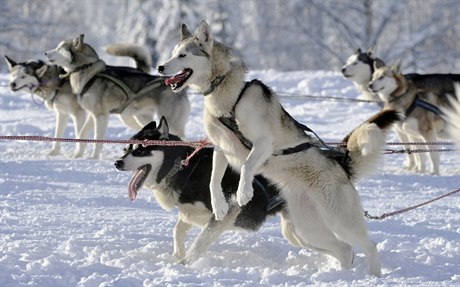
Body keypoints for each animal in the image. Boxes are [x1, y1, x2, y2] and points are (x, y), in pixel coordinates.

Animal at [114, 118, 306, 264]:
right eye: (125, 149)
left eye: (140, 150)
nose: (117, 162)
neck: (185, 168)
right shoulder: (190, 212)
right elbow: (177, 231)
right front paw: (177, 254)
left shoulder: (227, 210)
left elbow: (200, 241)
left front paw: (184, 263)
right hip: (292, 229)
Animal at [158, 20, 402, 276]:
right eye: (173, 53)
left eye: (183, 55)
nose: (160, 67)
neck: (227, 97)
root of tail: (342, 167)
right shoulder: (221, 148)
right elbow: (215, 181)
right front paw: (220, 205)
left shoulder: (263, 143)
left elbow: (246, 166)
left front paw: (244, 193)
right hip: (307, 227)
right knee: (344, 249)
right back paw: (341, 275)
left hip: (339, 219)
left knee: (369, 245)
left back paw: (374, 275)